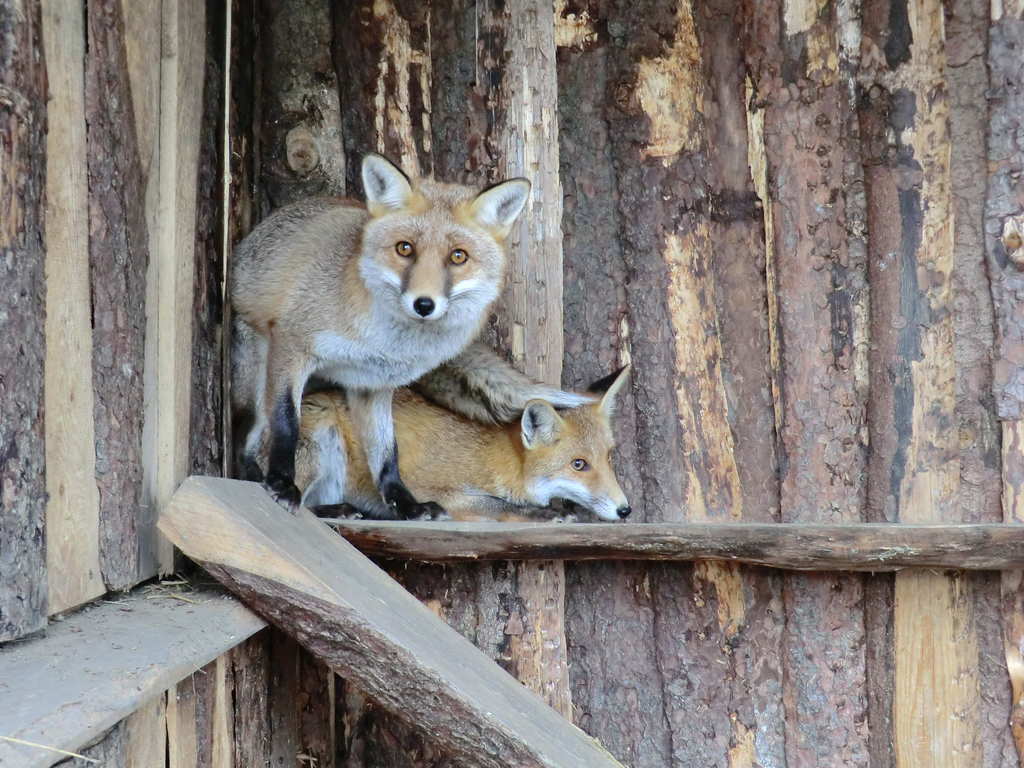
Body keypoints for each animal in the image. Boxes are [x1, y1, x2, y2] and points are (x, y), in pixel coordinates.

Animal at [294, 366, 630, 524]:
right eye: (578, 464)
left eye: (609, 458)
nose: (625, 510)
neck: (502, 461)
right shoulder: (430, 489)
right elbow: (496, 504)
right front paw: (540, 514)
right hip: (321, 435)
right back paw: (338, 510)